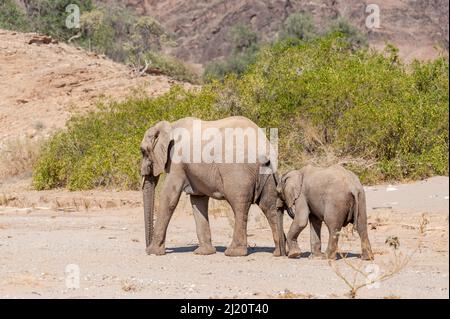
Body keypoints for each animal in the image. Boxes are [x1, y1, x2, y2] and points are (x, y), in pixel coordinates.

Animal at [142, 116, 284, 258]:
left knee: (239, 205)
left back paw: (233, 253)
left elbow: (169, 198)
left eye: (143, 151)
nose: (146, 247)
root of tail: (265, 148)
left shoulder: (177, 161)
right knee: (269, 206)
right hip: (267, 173)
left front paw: (153, 252)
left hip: (238, 172)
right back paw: (278, 253)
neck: (170, 125)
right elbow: (198, 200)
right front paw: (204, 253)